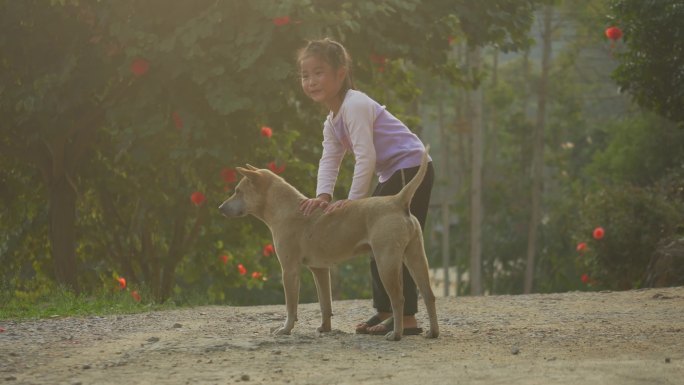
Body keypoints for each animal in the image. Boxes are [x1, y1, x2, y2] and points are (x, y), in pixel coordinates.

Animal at [219, 148, 438, 340]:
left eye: (238, 191)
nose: (220, 207)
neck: (285, 207)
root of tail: (397, 201)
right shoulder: (320, 270)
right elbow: (325, 303)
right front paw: (325, 328)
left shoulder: (289, 270)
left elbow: (291, 306)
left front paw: (285, 329)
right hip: (416, 258)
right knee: (429, 295)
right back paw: (432, 332)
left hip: (386, 262)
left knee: (399, 300)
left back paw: (396, 334)